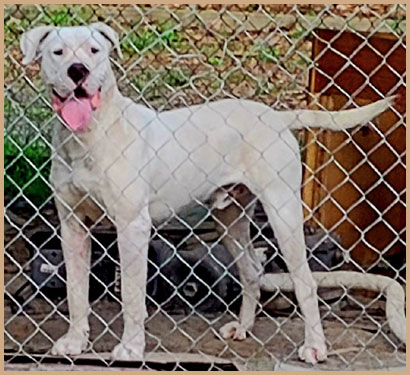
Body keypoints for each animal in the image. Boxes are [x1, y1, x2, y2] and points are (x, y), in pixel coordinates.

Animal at [20, 23, 392, 364]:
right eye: (58, 52)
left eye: (94, 51)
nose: (78, 71)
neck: (90, 134)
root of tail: (277, 117)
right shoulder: (72, 226)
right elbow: (76, 291)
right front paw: (74, 342)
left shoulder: (131, 227)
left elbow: (131, 295)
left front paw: (131, 348)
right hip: (230, 218)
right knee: (251, 271)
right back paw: (242, 329)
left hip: (282, 211)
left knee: (305, 282)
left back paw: (315, 347)